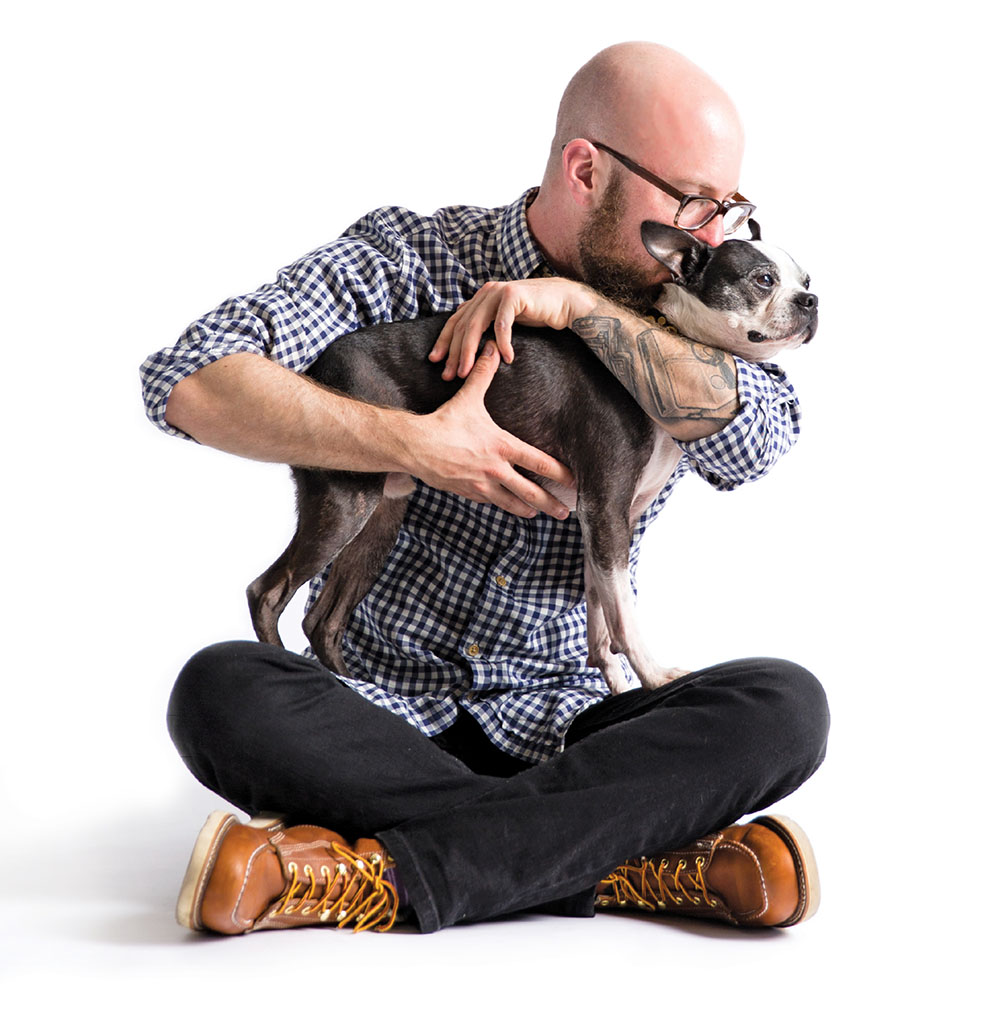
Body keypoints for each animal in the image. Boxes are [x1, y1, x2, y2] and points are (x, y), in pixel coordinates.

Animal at [245, 221, 817, 696]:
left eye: (806, 278)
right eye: (763, 279)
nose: (811, 300)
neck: (660, 340)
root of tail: (312, 369)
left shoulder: (602, 523)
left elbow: (600, 616)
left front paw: (615, 683)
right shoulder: (607, 511)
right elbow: (626, 617)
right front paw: (654, 676)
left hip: (380, 516)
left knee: (324, 620)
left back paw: (359, 691)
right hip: (346, 501)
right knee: (267, 592)